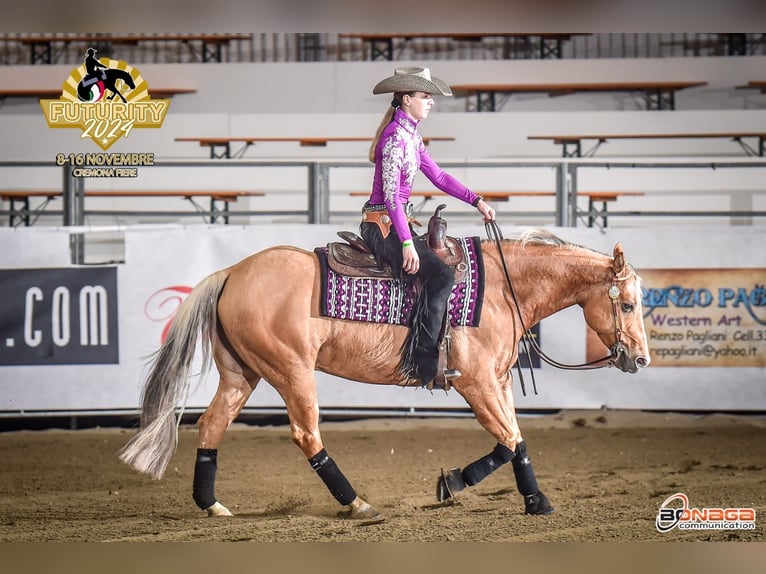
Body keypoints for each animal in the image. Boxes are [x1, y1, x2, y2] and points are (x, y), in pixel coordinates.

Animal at [118, 227, 650, 522]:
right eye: (626, 304)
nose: (641, 359)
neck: (502, 289)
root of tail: (231, 272)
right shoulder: (476, 383)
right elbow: (510, 439)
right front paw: (522, 498)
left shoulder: (496, 383)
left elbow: (512, 440)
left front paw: (475, 486)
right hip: (290, 371)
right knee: (307, 435)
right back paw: (357, 505)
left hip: (241, 374)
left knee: (211, 426)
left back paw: (211, 505)